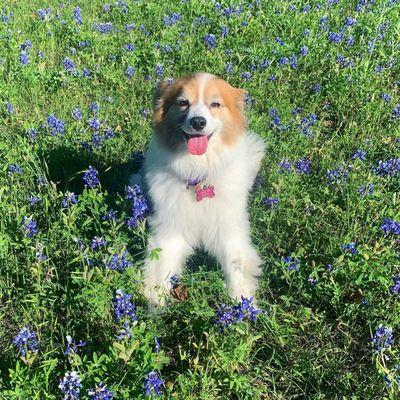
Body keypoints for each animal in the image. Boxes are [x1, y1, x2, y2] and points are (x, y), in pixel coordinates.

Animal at [131, 72, 268, 308]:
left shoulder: (228, 228)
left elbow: (236, 264)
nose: (197, 122)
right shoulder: (171, 229)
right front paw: (155, 306)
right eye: (182, 103)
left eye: (216, 104)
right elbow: (160, 270)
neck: (198, 173)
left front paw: (244, 304)